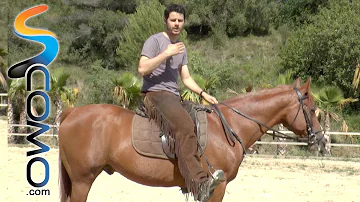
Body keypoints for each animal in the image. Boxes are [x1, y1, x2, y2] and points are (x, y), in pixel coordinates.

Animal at [58, 77, 324, 200]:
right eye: (312, 110)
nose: (321, 140)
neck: (228, 126)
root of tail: (72, 112)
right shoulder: (217, 187)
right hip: (82, 179)